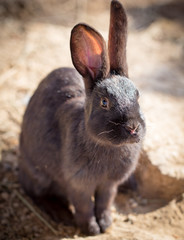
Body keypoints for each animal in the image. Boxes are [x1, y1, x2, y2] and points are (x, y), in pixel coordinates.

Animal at [18, 0, 145, 235]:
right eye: (104, 102)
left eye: (137, 96)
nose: (133, 127)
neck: (107, 145)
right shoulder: (78, 183)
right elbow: (84, 205)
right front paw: (91, 229)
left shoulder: (108, 184)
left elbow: (104, 202)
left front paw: (105, 223)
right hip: (38, 175)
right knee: (35, 193)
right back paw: (60, 214)